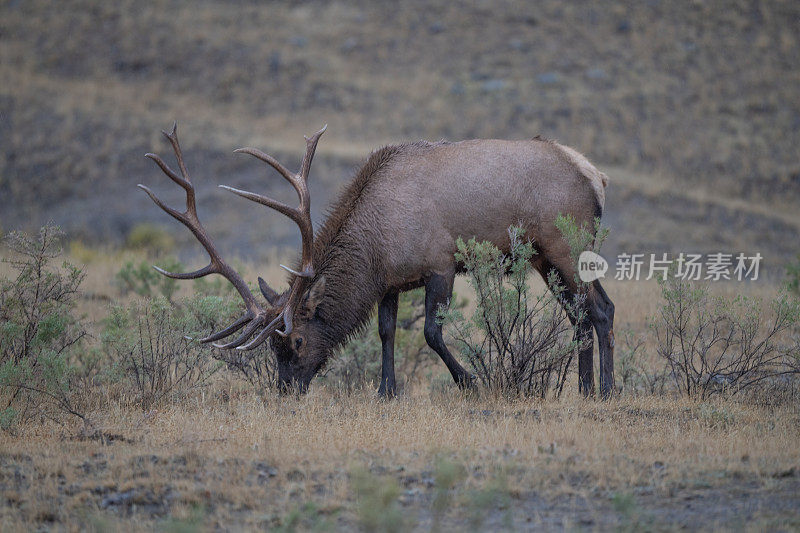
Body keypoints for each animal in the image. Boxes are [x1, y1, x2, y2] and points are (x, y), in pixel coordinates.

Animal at [138, 120, 616, 394]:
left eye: (296, 341)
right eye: (273, 349)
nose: (286, 391)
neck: (374, 247)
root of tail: (596, 175)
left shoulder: (440, 264)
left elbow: (431, 333)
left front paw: (471, 381)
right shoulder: (391, 282)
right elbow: (386, 333)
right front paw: (387, 391)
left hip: (567, 247)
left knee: (601, 309)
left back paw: (606, 389)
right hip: (544, 260)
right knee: (581, 316)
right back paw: (585, 389)